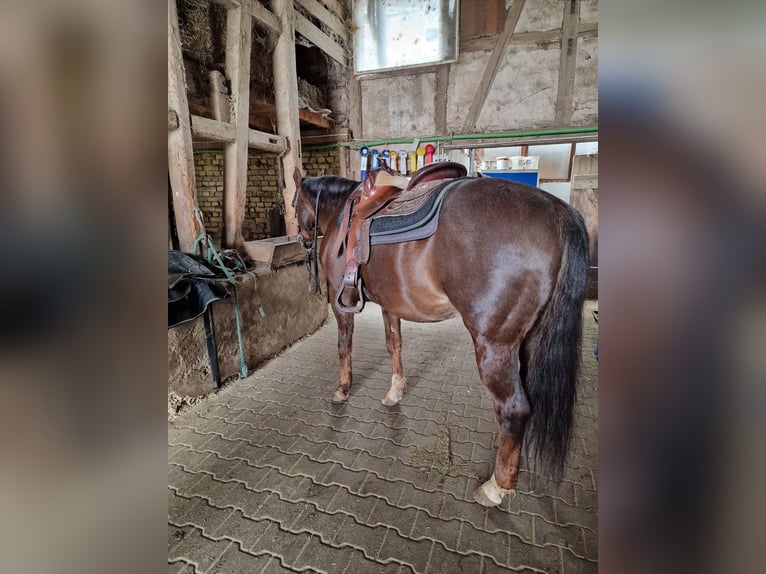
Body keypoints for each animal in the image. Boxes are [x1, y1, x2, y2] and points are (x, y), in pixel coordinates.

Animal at [292, 165, 589, 507]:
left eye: (292, 204)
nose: (302, 239)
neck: (343, 213)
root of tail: (559, 211)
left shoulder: (339, 300)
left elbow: (344, 345)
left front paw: (342, 389)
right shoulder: (391, 305)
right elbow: (394, 345)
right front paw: (395, 392)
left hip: (494, 346)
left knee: (514, 409)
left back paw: (496, 487)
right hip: (529, 341)